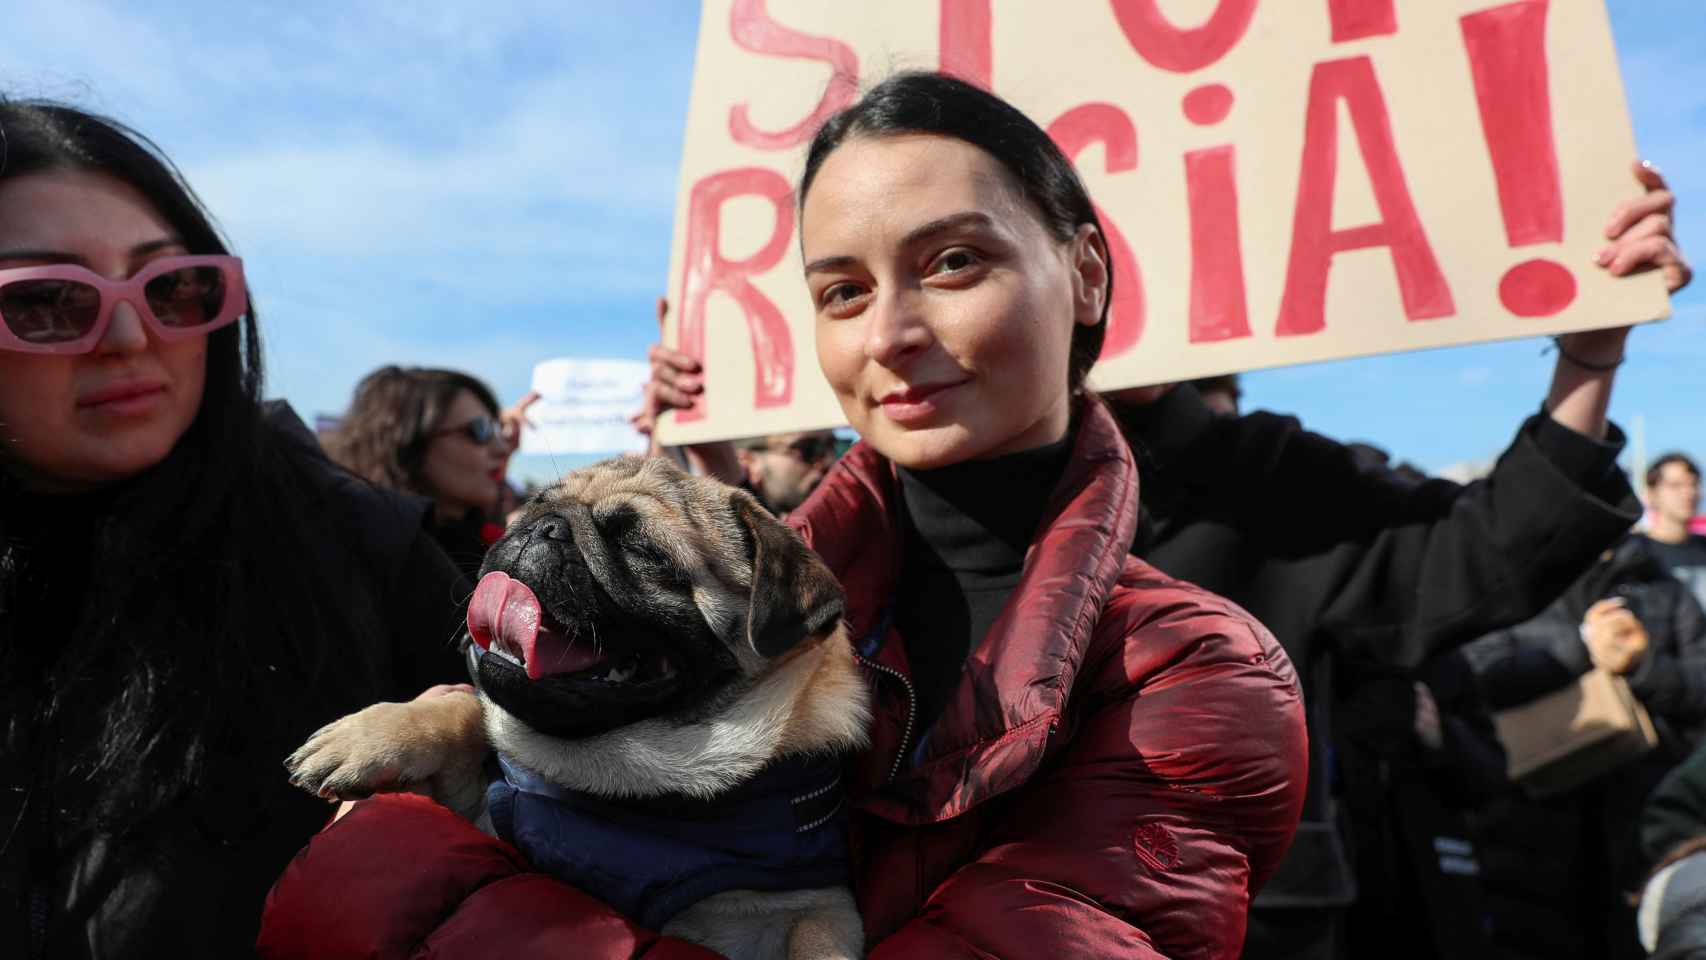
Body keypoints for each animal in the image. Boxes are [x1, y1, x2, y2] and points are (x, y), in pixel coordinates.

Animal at [288, 456, 873, 960]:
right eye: (534, 504)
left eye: (645, 551)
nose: (544, 527)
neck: (626, 780)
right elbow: (466, 712)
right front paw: (372, 736)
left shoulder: (816, 908)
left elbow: (820, 941)